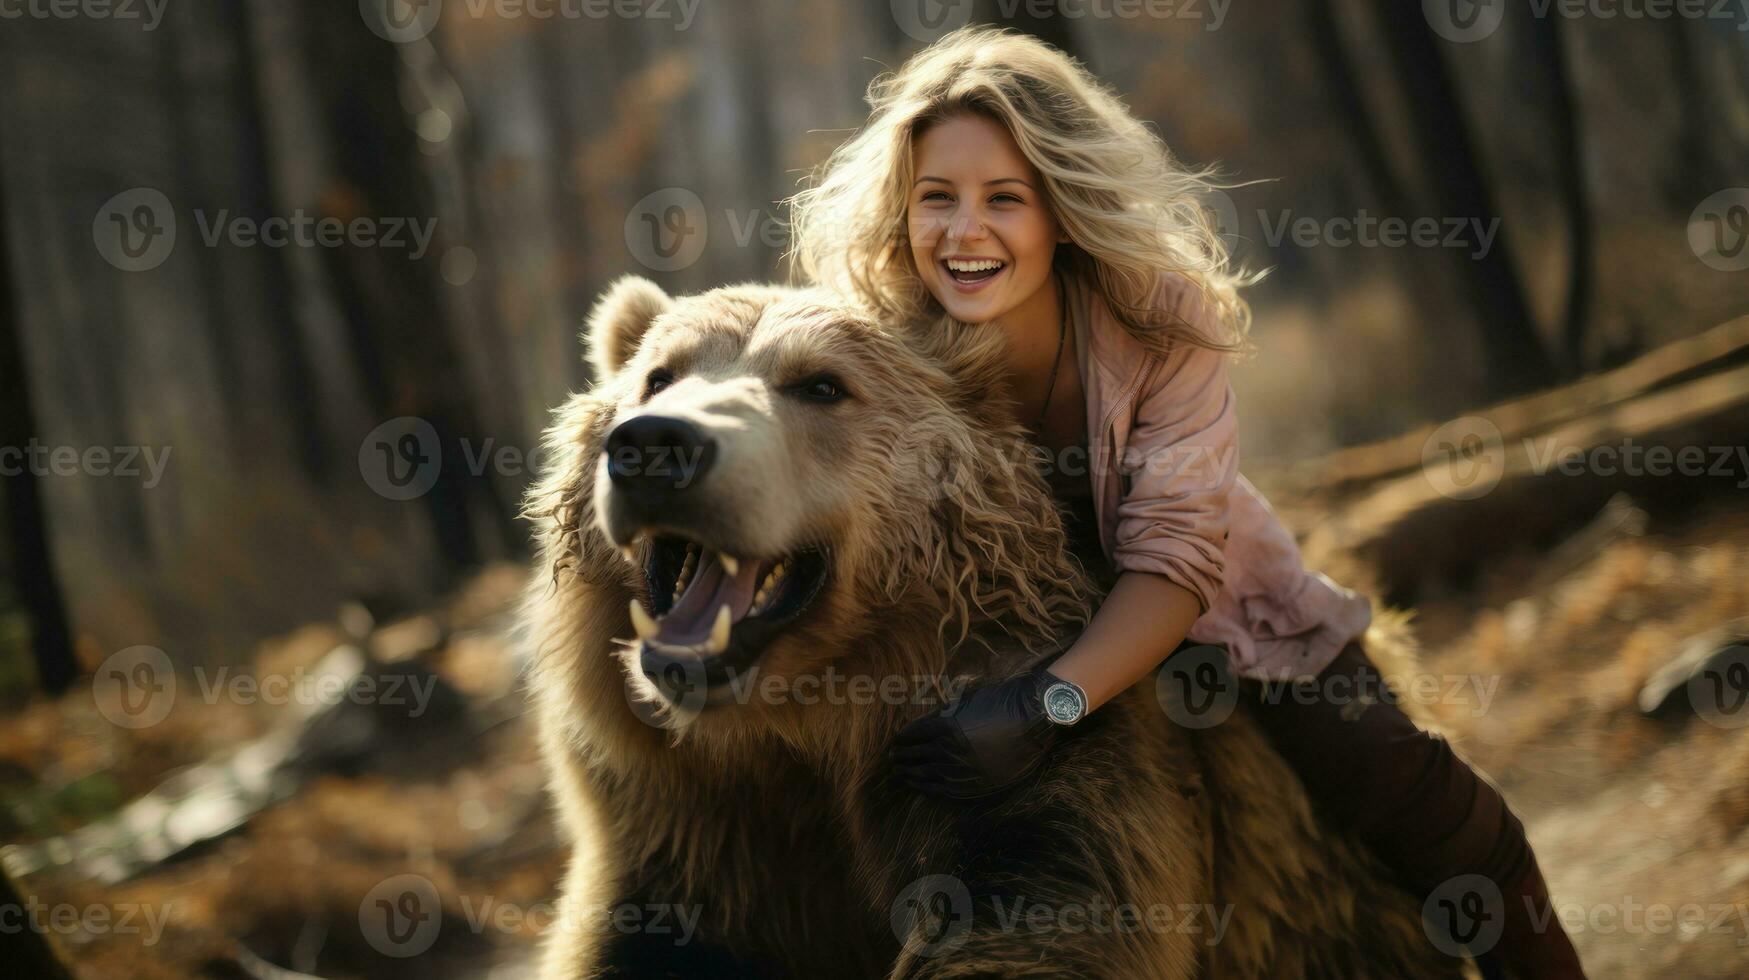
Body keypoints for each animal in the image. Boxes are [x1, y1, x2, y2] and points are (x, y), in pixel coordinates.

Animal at [521, 276, 1462, 980]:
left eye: (820, 384)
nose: (655, 447)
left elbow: (1041, 902)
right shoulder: (682, 815)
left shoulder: (1025, 757)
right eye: (657, 374)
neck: (806, 724)